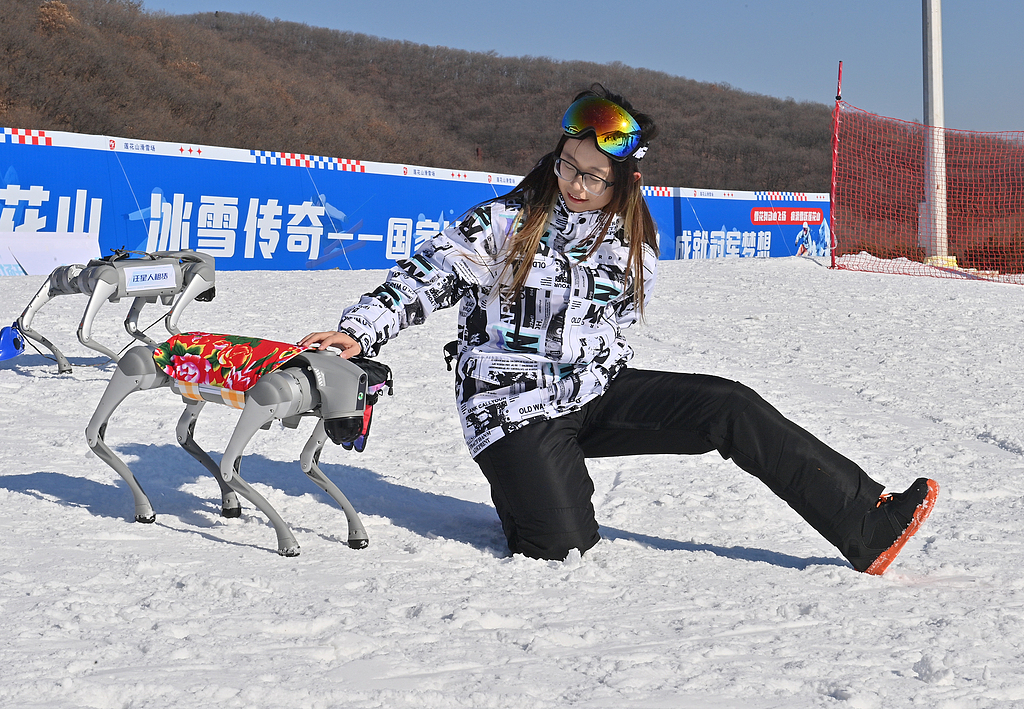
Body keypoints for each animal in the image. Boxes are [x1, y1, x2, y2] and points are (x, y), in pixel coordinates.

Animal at [84, 336, 391, 557]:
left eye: (365, 397)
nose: (349, 432)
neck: (314, 379)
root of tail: (166, 344)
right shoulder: (266, 398)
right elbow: (228, 466)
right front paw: (288, 543)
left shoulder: (318, 419)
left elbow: (306, 463)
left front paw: (357, 535)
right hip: (140, 371)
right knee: (95, 431)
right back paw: (145, 509)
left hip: (193, 396)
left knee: (184, 435)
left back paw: (228, 503)